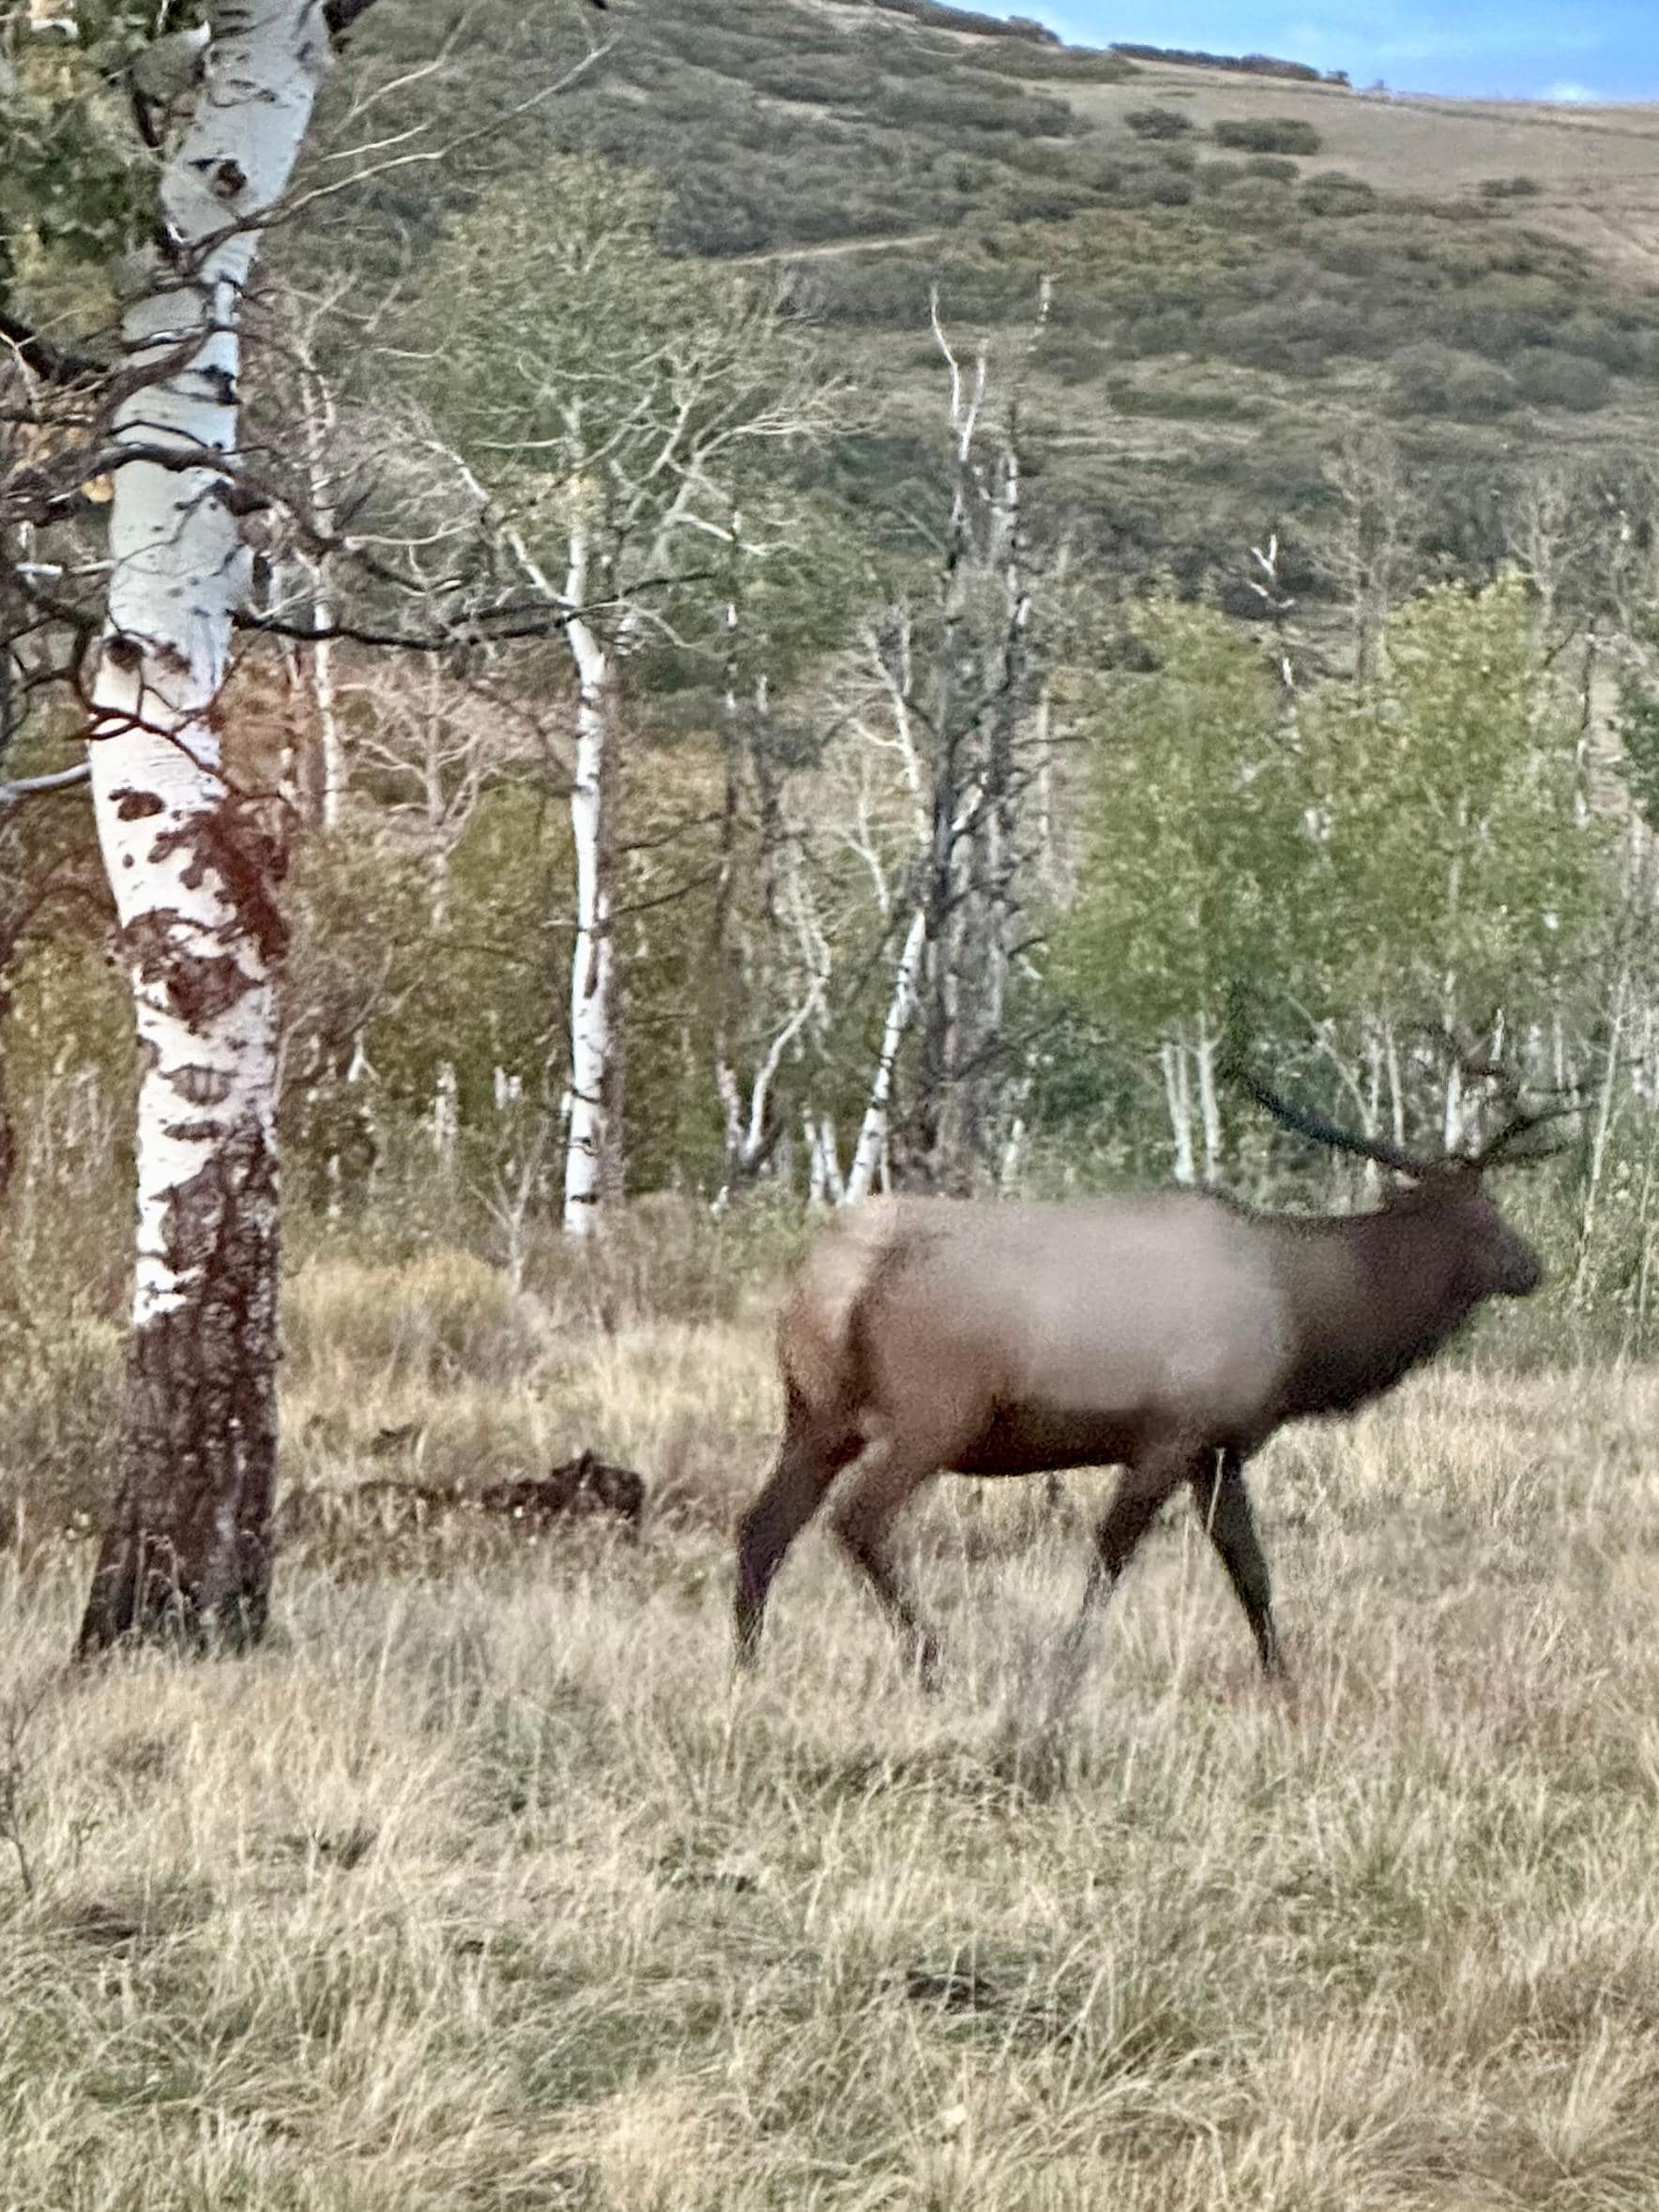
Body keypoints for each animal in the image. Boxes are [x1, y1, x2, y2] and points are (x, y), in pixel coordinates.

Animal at [733, 1068, 1559, 1685]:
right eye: (1484, 1217)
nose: (1534, 1266)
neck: (1305, 1325)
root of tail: (830, 1277)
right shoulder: (1170, 1434)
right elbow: (1112, 1554)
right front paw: (1067, 1664)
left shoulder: (1217, 1450)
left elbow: (1250, 1568)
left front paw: (1280, 1671)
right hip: (934, 1412)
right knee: (856, 1519)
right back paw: (931, 1660)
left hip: (815, 1414)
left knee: (762, 1525)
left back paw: (746, 1662)